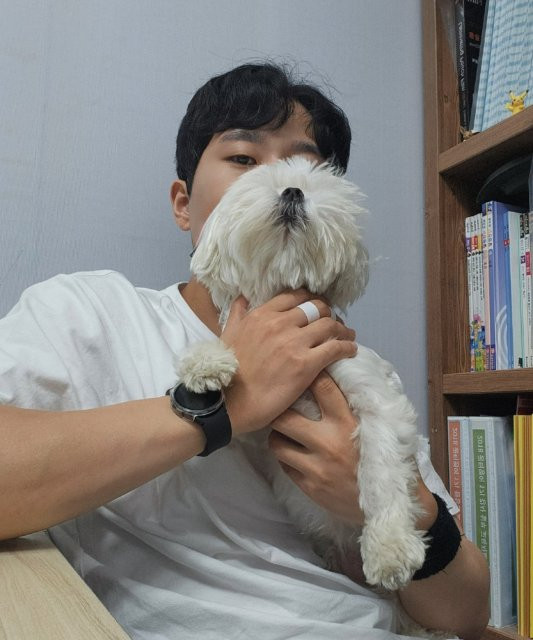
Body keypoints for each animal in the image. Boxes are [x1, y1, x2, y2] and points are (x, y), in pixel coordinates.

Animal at [176, 156, 446, 635]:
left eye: (314, 186)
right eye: (261, 179)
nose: (292, 193)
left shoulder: (376, 398)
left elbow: (381, 469)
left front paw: (391, 546)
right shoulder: (258, 424)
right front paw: (207, 361)